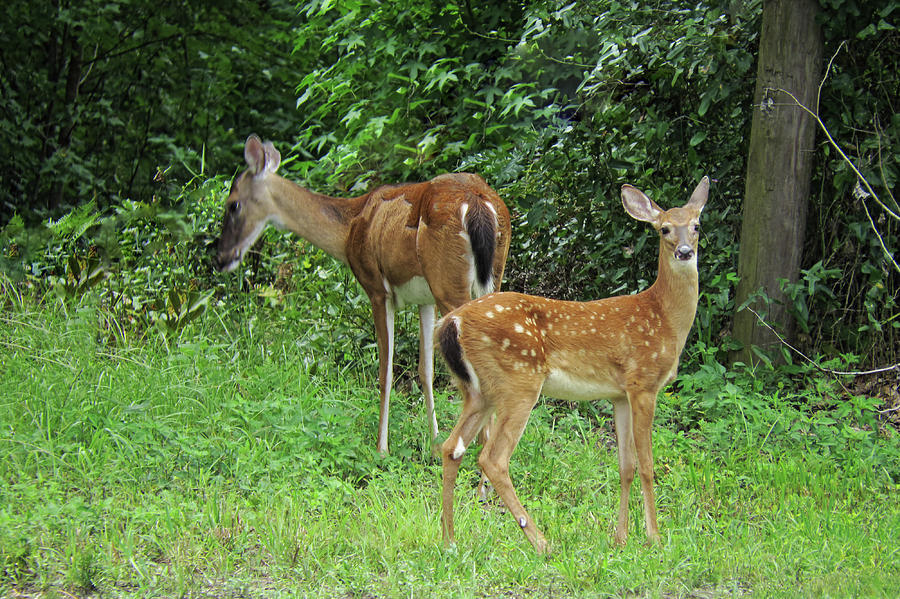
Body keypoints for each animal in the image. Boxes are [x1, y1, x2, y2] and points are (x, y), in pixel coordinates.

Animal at [218, 135, 510, 454]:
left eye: (232, 205)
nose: (220, 257)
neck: (349, 226)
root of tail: (478, 203)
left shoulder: (376, 288)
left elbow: (385, 371)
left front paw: (382, 449)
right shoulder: (424, 298)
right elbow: (426, 370)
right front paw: (433, 442)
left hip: (450, 284)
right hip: (490, 277)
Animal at [438, 177, 712, 552]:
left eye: (696, 225)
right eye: (665, 228)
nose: (684, 251)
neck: (665, 318)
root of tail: (452, 322)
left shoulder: (619, 394)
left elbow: (625, 466)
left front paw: (621, 537)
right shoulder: (643, 381)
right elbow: (646, 465)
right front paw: (654, 537)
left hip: (480, 390)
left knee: (452, 448)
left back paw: (450, 539)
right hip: (518, 382)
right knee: (493, 458)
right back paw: (540, 541)